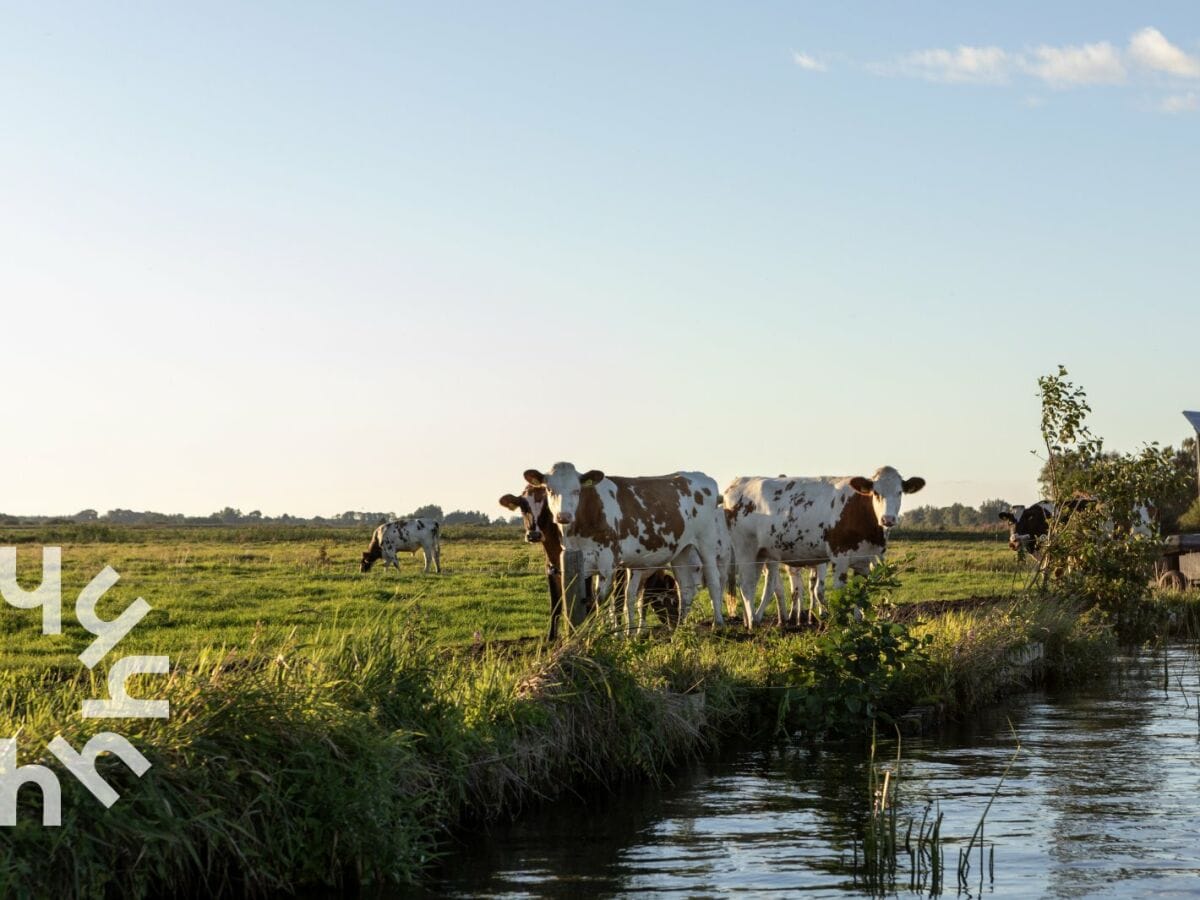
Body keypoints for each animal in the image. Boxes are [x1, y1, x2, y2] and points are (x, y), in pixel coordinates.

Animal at [525, 465, 739, 633]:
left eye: (577, 490)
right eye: (549, 490)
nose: (563, 516)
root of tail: (701, 476)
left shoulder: (608, 562)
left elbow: (605, 600)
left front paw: (602, 635)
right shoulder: (577, 563)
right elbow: (581, 600)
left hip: (706, 543)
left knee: (714, 581)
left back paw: (718, 624)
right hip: (681, 551)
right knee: (685, 588)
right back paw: (680, 628)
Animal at [720, 465, 926, 628]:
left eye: (899, 492)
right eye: (876, 493)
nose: (888, 519)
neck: (861, 510)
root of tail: (737, 482)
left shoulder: (864, 560)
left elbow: (860, 593)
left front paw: (858, 622)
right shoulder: (840, 556)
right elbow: (838, 591)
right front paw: (841, 622)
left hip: (761, 553)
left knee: (755, 584)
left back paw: (753, 619)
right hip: (745, 549)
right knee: (746, 585)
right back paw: (752, 624)